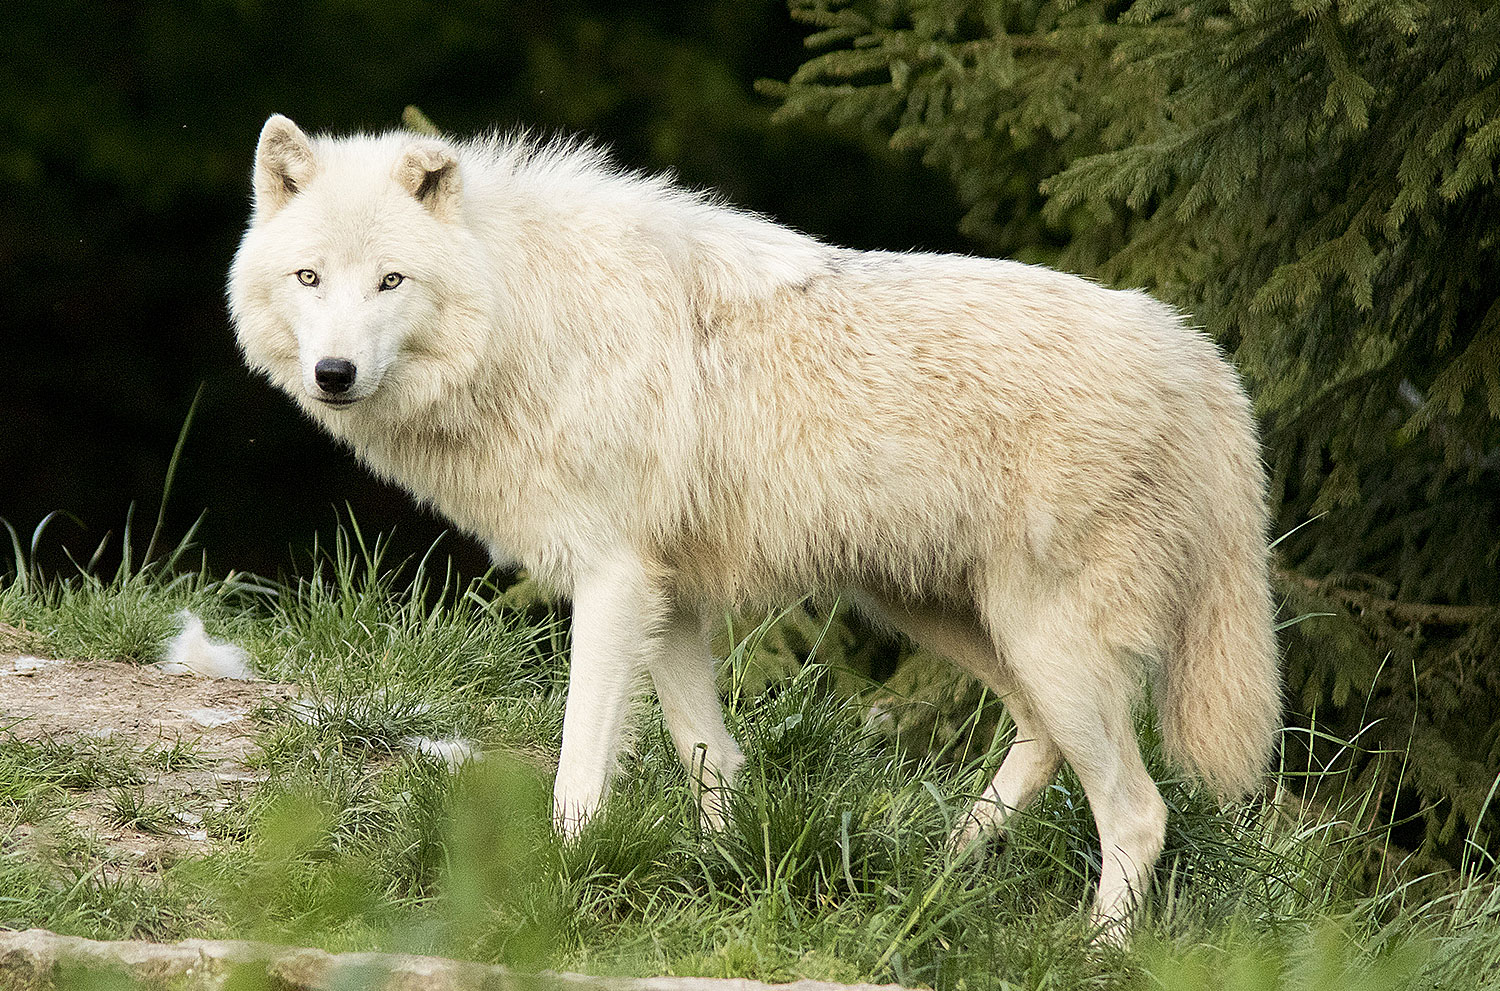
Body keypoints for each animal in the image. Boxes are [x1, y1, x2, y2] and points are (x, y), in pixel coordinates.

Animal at [228, 114, 1280, 933]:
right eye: (310, 278)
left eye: (391, 282)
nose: (333, 374)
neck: (531, 321)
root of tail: (1202, 360)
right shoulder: (670, 598)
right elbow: (712, 758)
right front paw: (724, 876)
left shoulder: (615, 581)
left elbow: (580, 767)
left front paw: (561, 885)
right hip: (957, 621)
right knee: (1042, 741)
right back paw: (933, 872)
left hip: (1041, 636)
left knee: (1139, 810)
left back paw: (1091, 946)